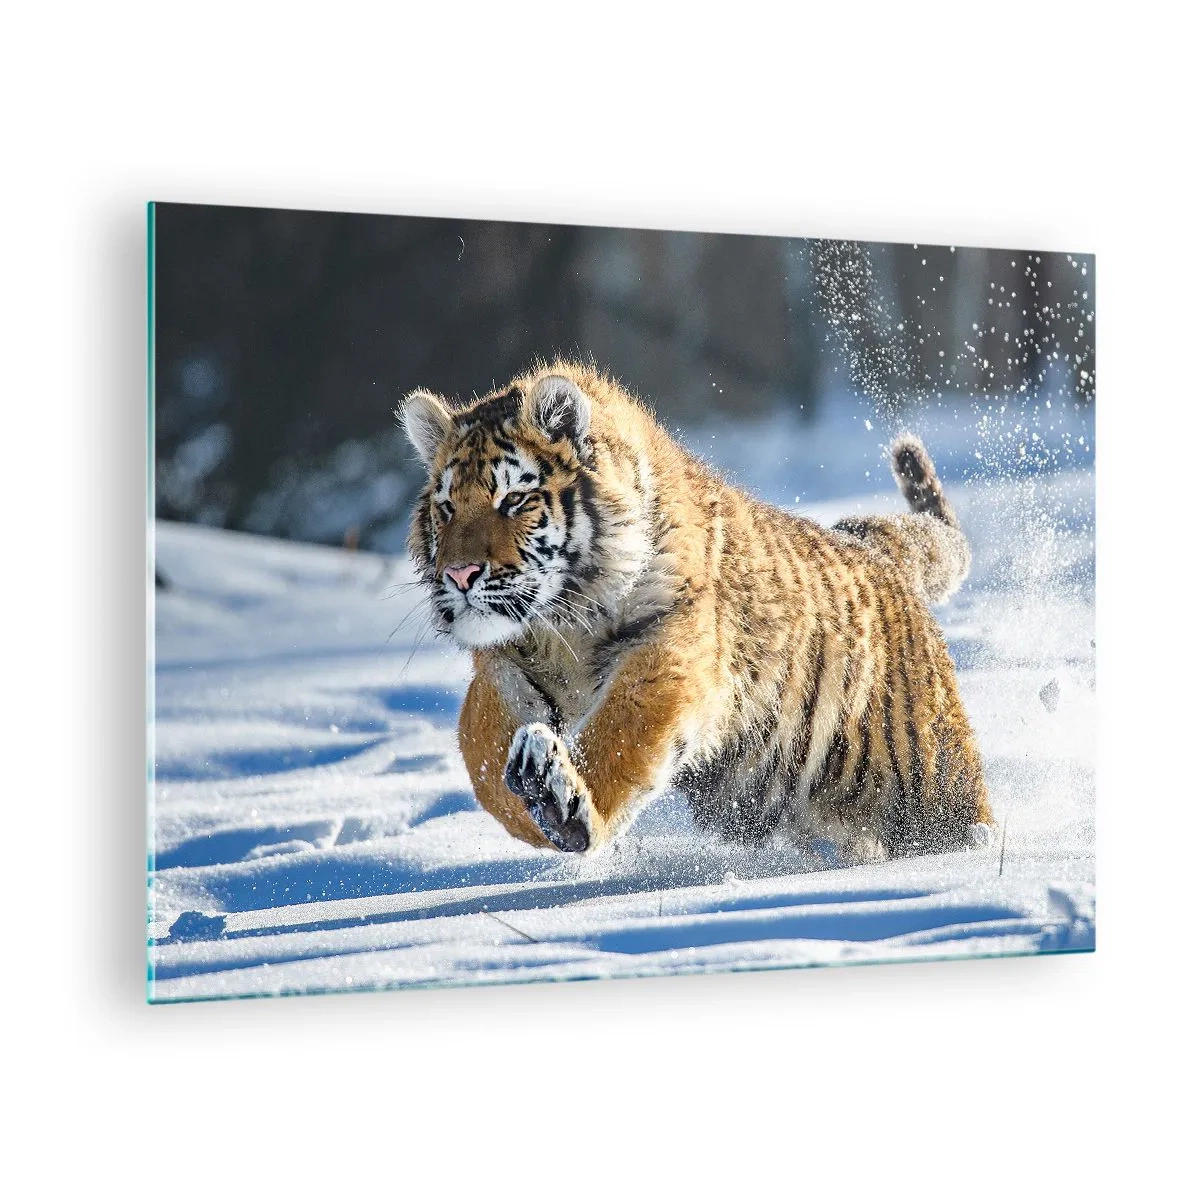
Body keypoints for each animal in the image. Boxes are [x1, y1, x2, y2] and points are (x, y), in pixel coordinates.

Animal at [398, 361, 993, 864]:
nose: (460, 575)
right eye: (446, 507)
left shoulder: (668, 649)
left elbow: (620, 734)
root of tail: (877, 548)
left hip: (933, 782)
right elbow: (482, 754)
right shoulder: (502, 664)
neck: (562, 624)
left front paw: (564, 804)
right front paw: (531, 797)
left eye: (514, 501)